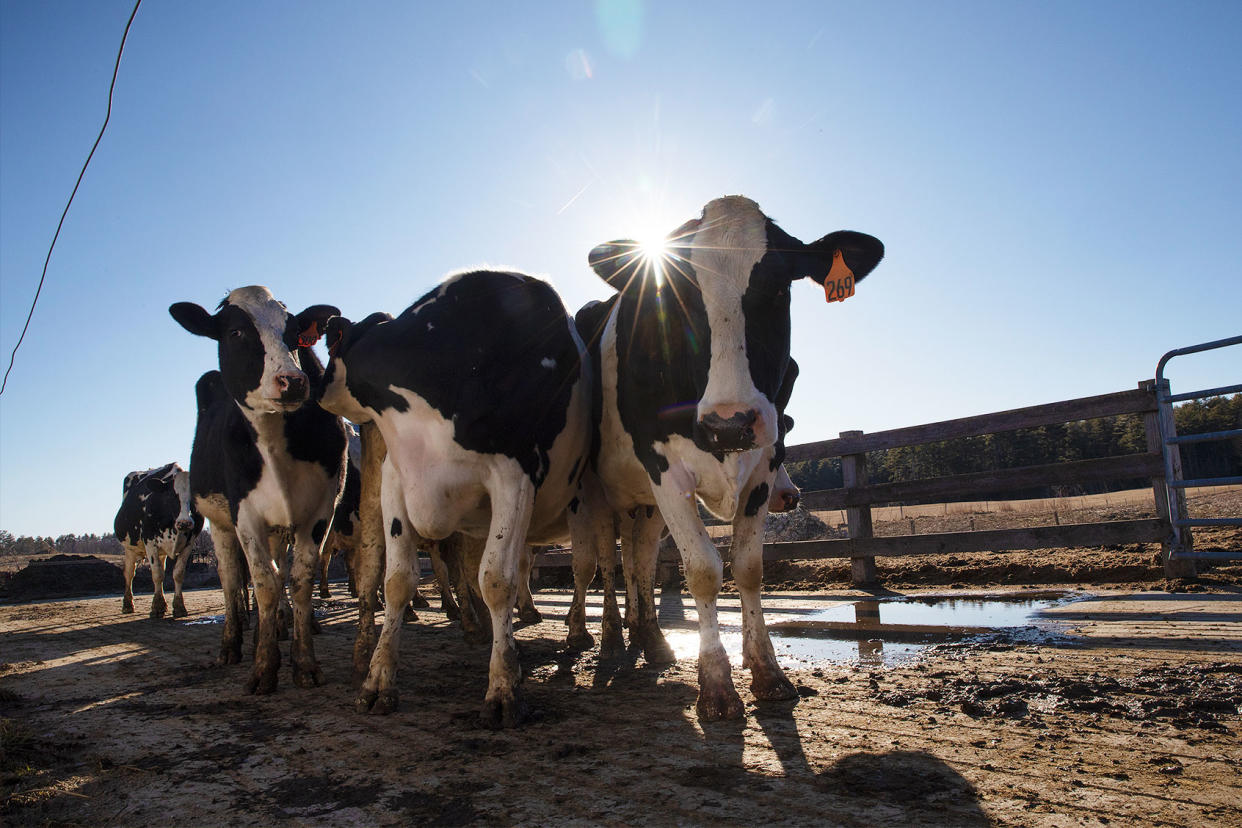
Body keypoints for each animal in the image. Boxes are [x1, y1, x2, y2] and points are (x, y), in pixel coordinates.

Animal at [114, 464, 201, 618]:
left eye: (194, 496)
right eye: (172, 495)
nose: (185, 522)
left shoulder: (189, 543)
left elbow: (178, 573)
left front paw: (179, 607)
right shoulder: (149, 542)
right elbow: (157, 574)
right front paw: (157, 607)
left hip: (161, 551)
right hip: (129, 547)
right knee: (129, 573)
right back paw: (128, 605)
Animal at [167, 288, 347, 695]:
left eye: (295, 331)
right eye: (236, 333)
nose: (293, 381)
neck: (274, 440)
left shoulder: (319, 510)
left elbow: (298, 580)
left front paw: (303, 662)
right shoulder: (244, 514)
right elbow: (263, 582)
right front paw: (264, 667)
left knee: (278, 570)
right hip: (218, 525)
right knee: (232, 580)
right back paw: (233, 645)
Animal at [320, 270, 591, 724]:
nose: (313, 389)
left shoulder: (515, 475)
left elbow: (497, 580)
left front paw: (503, 688)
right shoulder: (396, 479)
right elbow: (398, 581)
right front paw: (378, 681)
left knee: (592, 566)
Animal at [571, 197, 884, 720]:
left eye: (779, 286)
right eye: (674, 291)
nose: (729, 423)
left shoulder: (764, 460)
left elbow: (748, 568)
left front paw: (768, 673)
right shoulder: (663, 469)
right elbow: (703, 570)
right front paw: (716, 685)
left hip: (644, 505)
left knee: (638, 561)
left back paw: (650, 638)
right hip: (596, 492)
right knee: (604, 565)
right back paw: (609, 638)